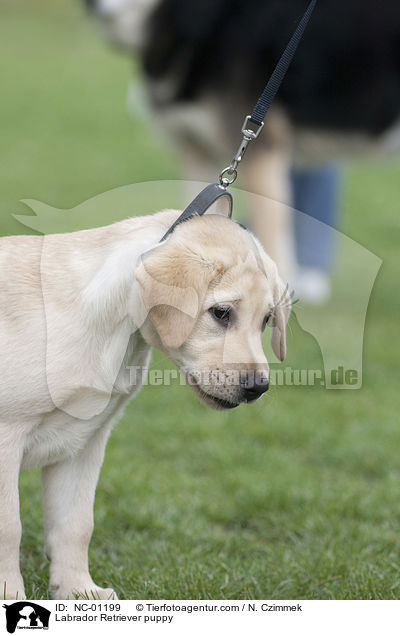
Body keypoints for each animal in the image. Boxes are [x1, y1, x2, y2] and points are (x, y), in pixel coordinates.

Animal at [0, 210, 288, 600]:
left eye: (267, 320)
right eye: (221, 313)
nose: (259, 387)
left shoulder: (82, 442)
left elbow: (75, 525)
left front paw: (78, 592)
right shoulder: (6, 439)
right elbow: (9, 528)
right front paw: (9, 595)